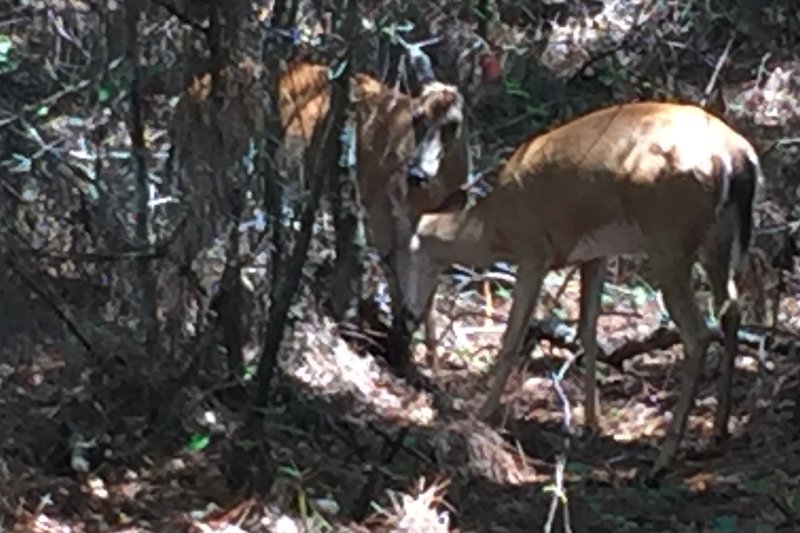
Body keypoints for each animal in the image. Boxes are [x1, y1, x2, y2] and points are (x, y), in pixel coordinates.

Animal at [392, 101, 764, 478]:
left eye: (407, 254)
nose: (407, 312)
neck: (495, 227)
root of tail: (735, 156)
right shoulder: (594, 254)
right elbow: (588, 331)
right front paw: (592, 423)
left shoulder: (533, 251)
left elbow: (512, 336)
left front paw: (483, 413)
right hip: (719, 240)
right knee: (732, 309)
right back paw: (718, 431)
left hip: (668, 240)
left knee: (698, 333)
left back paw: (663, 459)